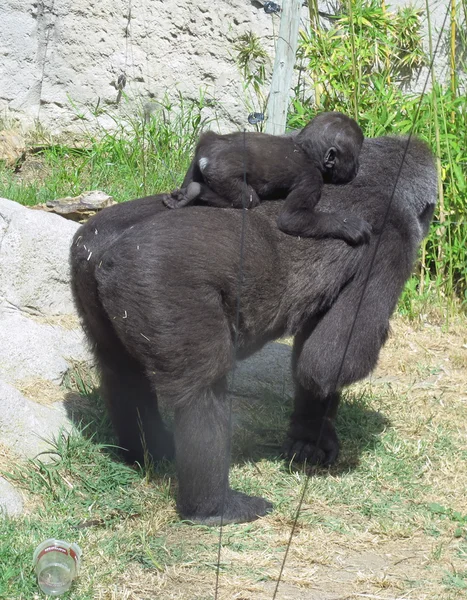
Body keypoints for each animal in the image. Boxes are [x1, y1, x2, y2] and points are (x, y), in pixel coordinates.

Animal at [70, 136, 438, 524]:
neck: (377, 179)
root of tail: (106, 250)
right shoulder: (394, 238)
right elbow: (331, 360)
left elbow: (314, 363)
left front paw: (310, 437)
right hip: (157, 280)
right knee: (202, 390)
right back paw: (213, 506)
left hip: (86, 263)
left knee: (119, 370)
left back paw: (148, 452)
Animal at [163, 111, 372, 245]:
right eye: (354, 157)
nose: (357, 168)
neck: (305, 150)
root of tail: (207, 155)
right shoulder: (312, 178)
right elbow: (290, 218)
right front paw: (347, 224)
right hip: (221, 173)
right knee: (247, 199)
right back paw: (195, 191)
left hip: (204, 146)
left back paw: (184, 194)